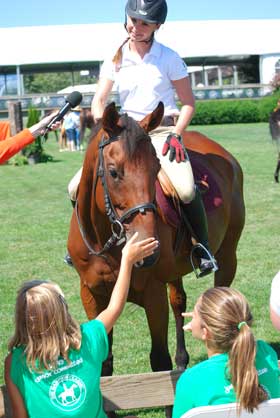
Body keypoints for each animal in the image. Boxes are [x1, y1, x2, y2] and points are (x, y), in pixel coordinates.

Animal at [68, 101, 245, 378]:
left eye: (156, 169)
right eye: (113, 172)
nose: (148, 248)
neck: (106, 243)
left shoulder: (153, 294)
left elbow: (160, 360)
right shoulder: (91, 293)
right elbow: (104, 364)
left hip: (227, 256)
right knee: (179, 301)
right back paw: (183, 359)